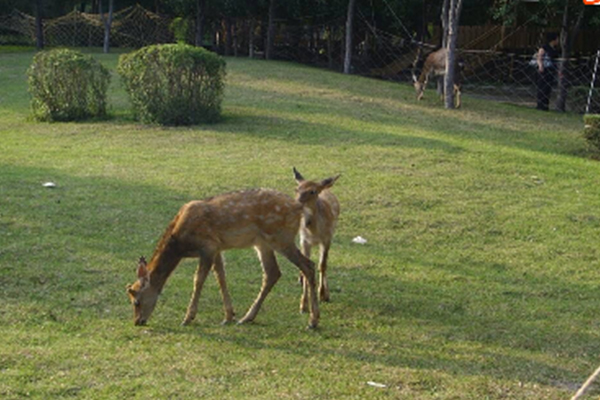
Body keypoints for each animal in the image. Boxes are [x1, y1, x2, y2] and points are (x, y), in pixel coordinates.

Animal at [126, 189, 322, 330]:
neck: (180, 244)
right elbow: (221, 276)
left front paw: (188, 318)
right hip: (263, 243)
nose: (137, 321)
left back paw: (313, 321)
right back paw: (247, 317)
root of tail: (299, 208)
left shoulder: (208, 246)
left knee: (308, 265)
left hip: (281, 237)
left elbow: (198, 279)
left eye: (136, 301)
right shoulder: (217, 249)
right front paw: (229, 316)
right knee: (272, 272)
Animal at [292, 167, 340, 310]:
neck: (314, 232)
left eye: (312, 191)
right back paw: (300, 278)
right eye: (297, 189)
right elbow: (307, 267)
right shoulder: (304, 240)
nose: (297, 203)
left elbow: (322, 265)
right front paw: (303, 305)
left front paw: (323, 294)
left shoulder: (327, 239)